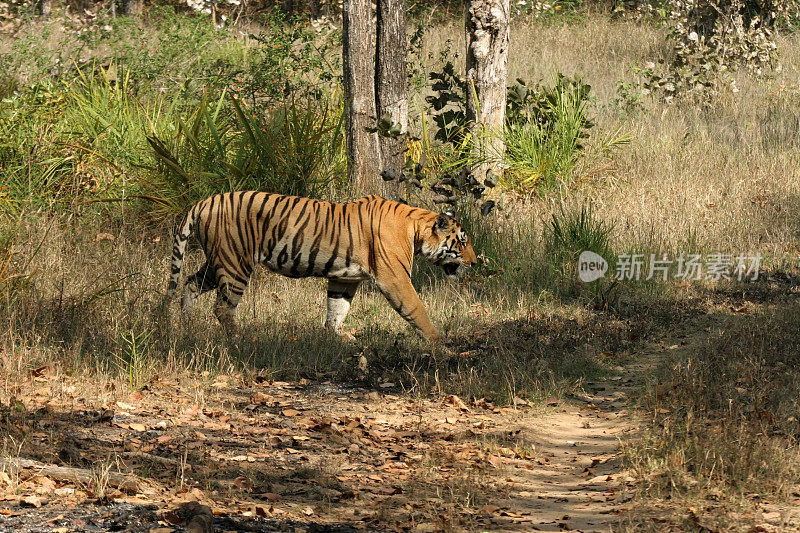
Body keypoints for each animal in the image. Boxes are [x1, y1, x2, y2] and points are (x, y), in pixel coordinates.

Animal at [163, 191, 476, 340]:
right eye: (462, 242)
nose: (475, 262)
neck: (416, 228)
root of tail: (205, 201)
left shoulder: (345, 278)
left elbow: (336, 309)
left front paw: (337, 337)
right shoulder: (395, 279)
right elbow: (416, 308)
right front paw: (437, 340)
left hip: (217, 262)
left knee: (189, 284)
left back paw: (187, 325)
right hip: (234, 263)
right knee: (222, 307)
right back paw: (238, 339)